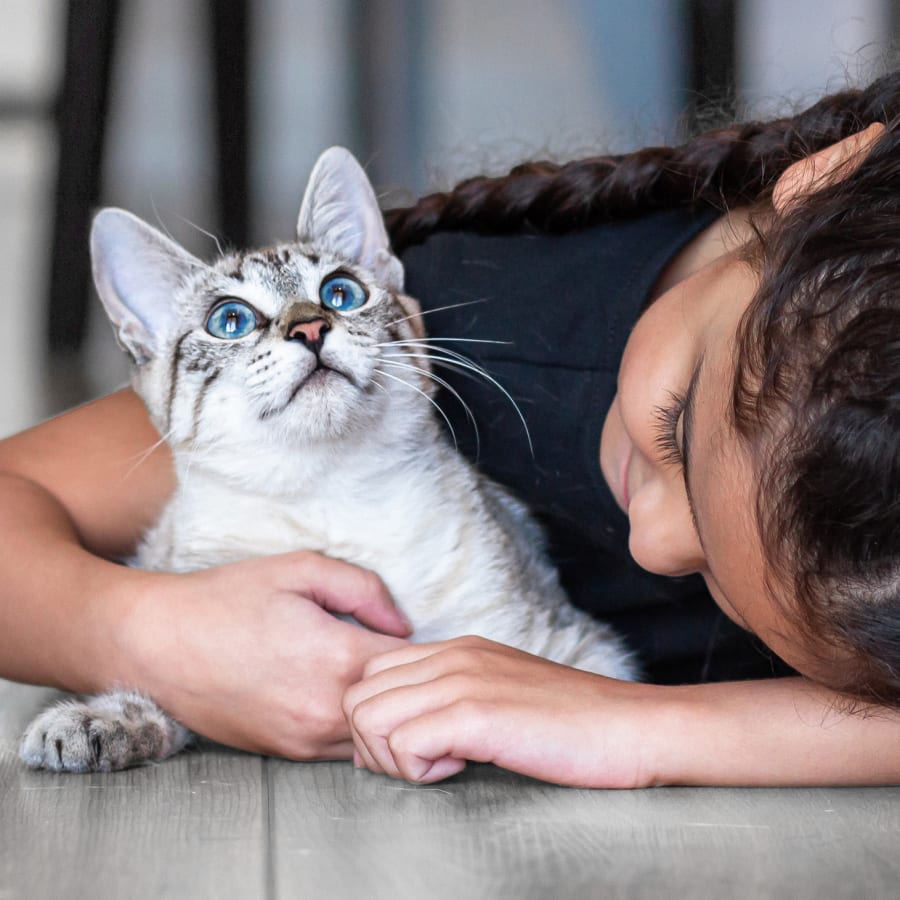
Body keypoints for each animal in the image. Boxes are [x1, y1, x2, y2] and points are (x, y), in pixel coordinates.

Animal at [19, 148, 632, 772]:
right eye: (230, 321)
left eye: (340, 293)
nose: (310, 327)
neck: (330, 498)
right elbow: (167, 693)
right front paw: (97, 721)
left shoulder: (585, 643)